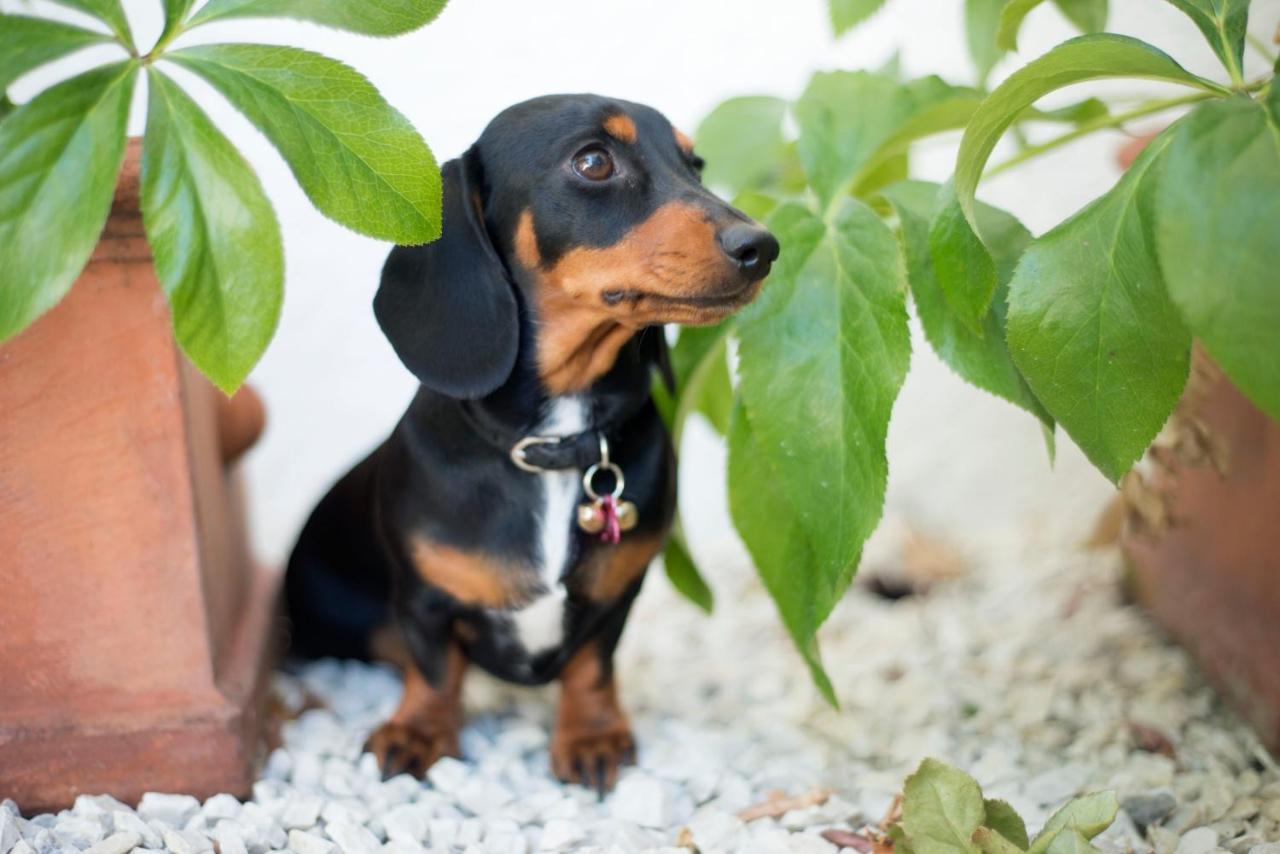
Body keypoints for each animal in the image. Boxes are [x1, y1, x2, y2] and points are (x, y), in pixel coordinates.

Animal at [282, 93, 778, 793]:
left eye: (696, 164)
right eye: (593, 162)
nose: (762, 246)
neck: (554, 446)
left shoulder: (616, 595)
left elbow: (592, 666)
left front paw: (591, 737)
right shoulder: (423, 600)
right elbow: (433, 670)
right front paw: (418, 733)